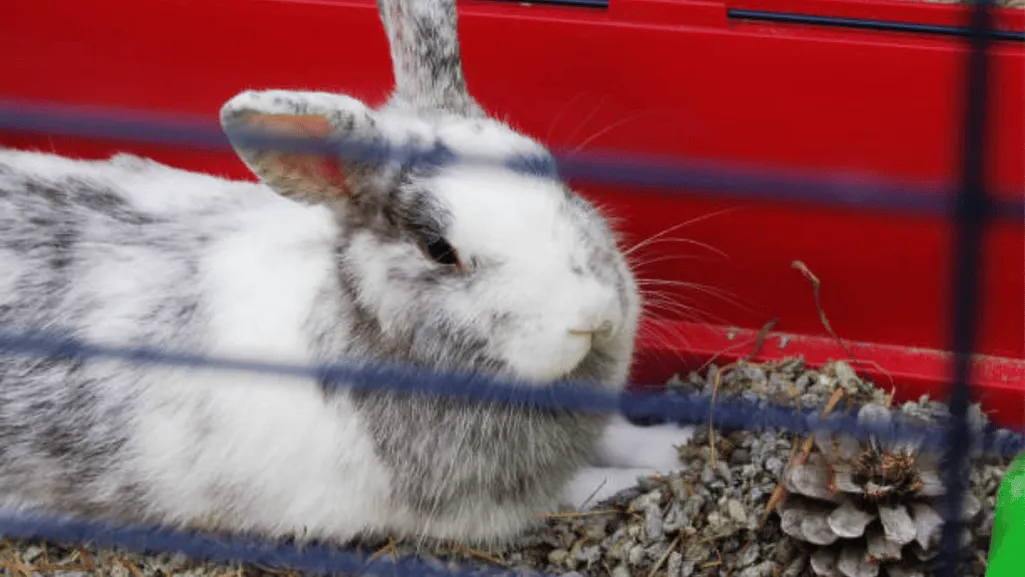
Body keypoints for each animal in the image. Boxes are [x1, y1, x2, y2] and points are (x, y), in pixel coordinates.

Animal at [0, 0, 695, 546]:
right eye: (438, 249)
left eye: (548, 169)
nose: (593, 315)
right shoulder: (497, 506)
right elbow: (592, 485)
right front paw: (652, 474)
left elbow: (626, 436)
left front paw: (677, 442)